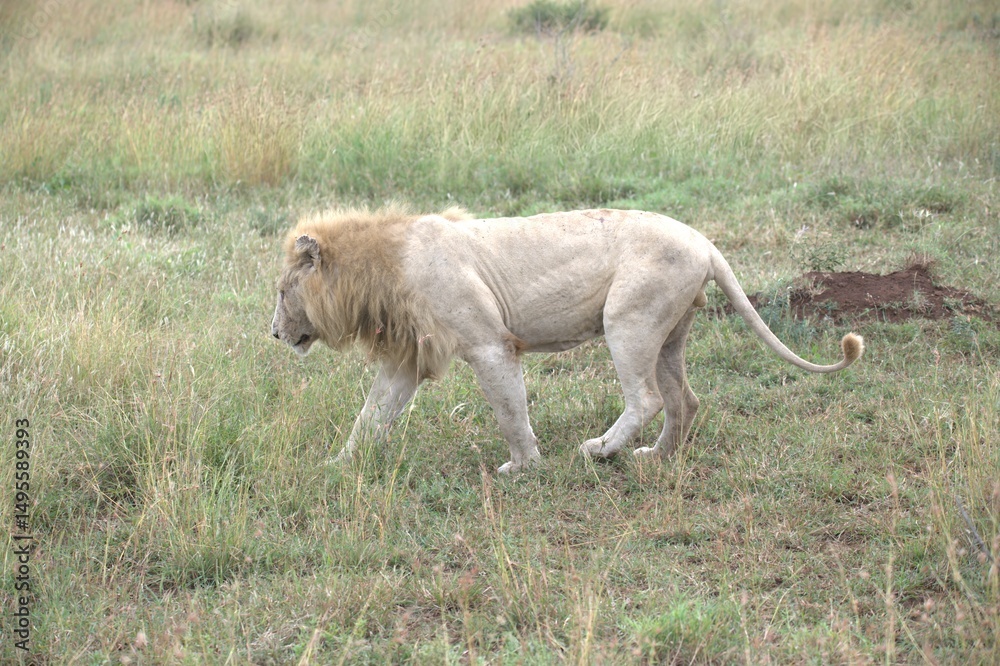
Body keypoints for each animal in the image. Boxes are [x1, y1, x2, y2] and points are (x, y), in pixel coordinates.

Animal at [271, 204, 863, 473]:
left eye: (280, 292)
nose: (274, 333)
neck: (379, 269)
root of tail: (705, 241)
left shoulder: (489, 343)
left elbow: (510, 410)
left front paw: (523, 468)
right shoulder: (406, 359)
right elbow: (370, 416)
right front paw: (337, 467)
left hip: (627, 318)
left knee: (646, 397)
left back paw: (600, 449)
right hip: (669, 333)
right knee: (684, 399)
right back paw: (655, 457)